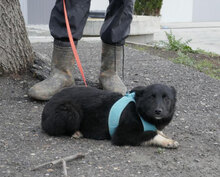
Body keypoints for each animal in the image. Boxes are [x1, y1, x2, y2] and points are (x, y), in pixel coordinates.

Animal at [41, 84, 179, 148]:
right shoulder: (123, 135)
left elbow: (157, 131)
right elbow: (152, 134)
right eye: (151, 98)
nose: (158, 111)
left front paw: (165, 135)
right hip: (70, 112)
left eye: (167, 99)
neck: (139, 111)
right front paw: (168, 141)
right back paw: (76, 132)